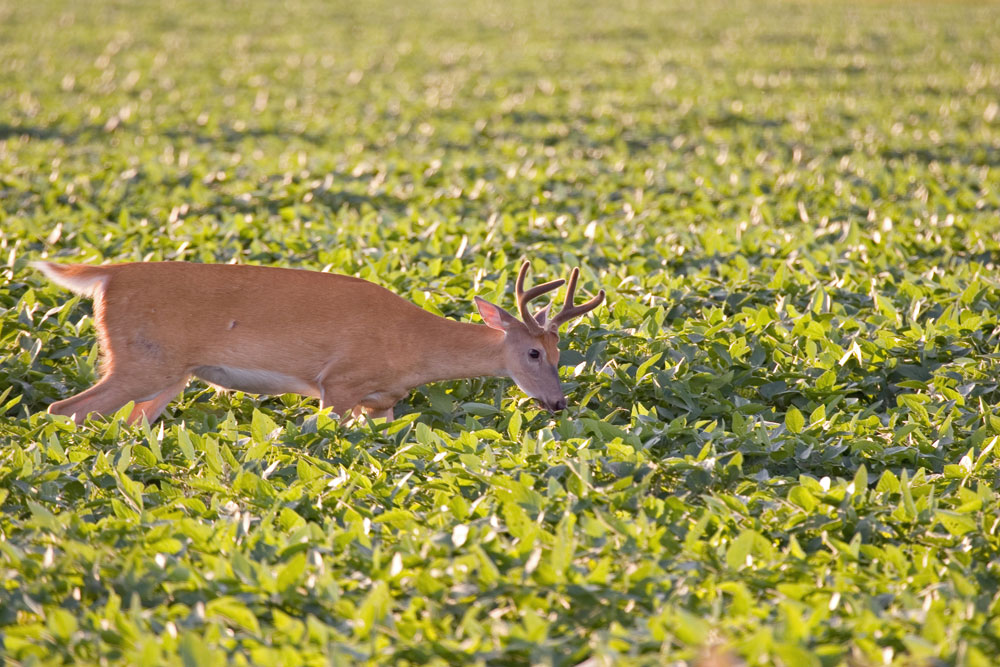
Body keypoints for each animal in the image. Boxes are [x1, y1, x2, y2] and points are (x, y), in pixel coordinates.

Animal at [31, 260, 604, 422]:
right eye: (533, 352)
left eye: (562, 354)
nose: (558, 403)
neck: (413, 346)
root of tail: (106, 275)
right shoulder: (339, 384)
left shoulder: (382, 401)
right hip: (139, 362)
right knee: (64, 408)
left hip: (169, 374)